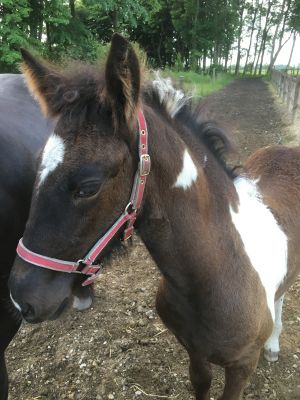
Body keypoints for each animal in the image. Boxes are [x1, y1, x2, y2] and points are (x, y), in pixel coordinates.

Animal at [9, 35, 300, 400]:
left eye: (88, 186)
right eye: (36, 164)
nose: (21, 298)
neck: (219, 272)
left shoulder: (241, 368)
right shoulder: (194, 352)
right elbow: (201, 384)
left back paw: (273, 344)